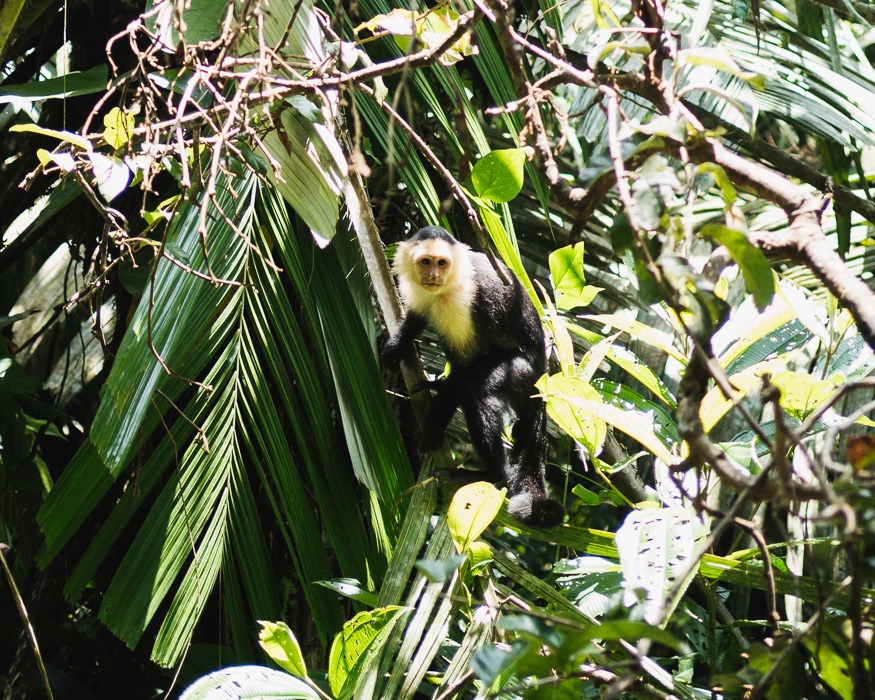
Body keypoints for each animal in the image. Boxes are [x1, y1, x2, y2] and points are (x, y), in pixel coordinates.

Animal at [384, 227, 568, 528]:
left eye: (442, 263)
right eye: (426, 262)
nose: (433, 275)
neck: (447, 285)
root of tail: (544, 376)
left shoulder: (463, 298)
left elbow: (465, 365)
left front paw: (433, 429)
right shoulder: (420, 292)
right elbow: (417, 316)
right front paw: (396, 345)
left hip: (523, 373)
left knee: (476, 389)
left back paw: (491, 474)